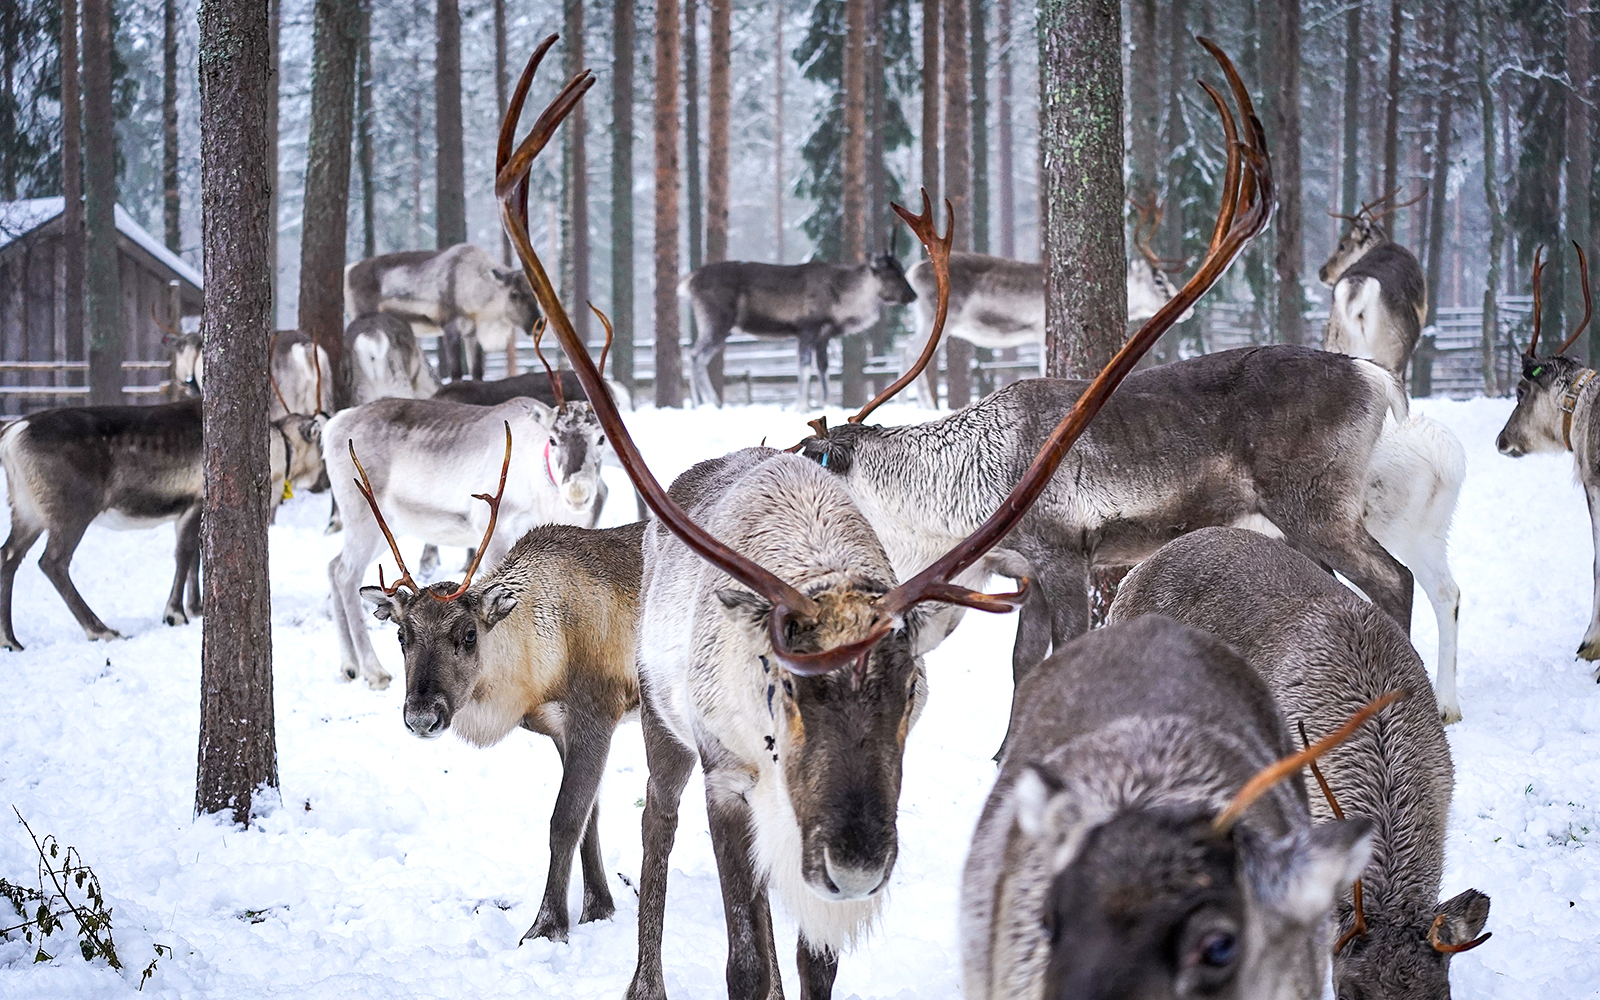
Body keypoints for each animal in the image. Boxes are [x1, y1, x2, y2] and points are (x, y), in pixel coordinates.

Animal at [0, 398, 326, 650]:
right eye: (320, 449)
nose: (324, 482)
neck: (278, 448)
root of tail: (12, 433)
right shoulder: (195, 502)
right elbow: (185, 555)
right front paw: (176, 613)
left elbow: (196, 558)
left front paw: (196, 607)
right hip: (72, 511)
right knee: (52, 562)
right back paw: (101, 630)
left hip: (27, 511)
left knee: (9, 557)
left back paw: (11, 640)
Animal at [344, 243, 541, 382]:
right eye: (513, 294)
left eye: (535, 293)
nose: (537, 324)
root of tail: (348, 270)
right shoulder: (450, 328)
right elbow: (456, 372)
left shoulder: (471, 332)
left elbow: (477, 372)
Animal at [349, 424, 645, 944]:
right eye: (402, 636)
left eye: (468, 634)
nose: (422, 717)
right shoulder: (562, 730)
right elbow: (589, 820)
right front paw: (598, 908)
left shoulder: (597, 715)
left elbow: (564, 821)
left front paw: (547, 925)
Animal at [679, 249, 918, 410]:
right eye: (892, 273)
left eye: (902, 269)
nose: (913, 295)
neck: (843, 299)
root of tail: (689, 281)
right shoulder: (807, 329)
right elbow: (804, 368)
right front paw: (802, 406)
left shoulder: (824, 335)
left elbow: (823, 370)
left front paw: (825, 404)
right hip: (716, 323)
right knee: (695, 356)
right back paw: (709, 401)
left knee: (695, 357)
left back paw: (702, 403)